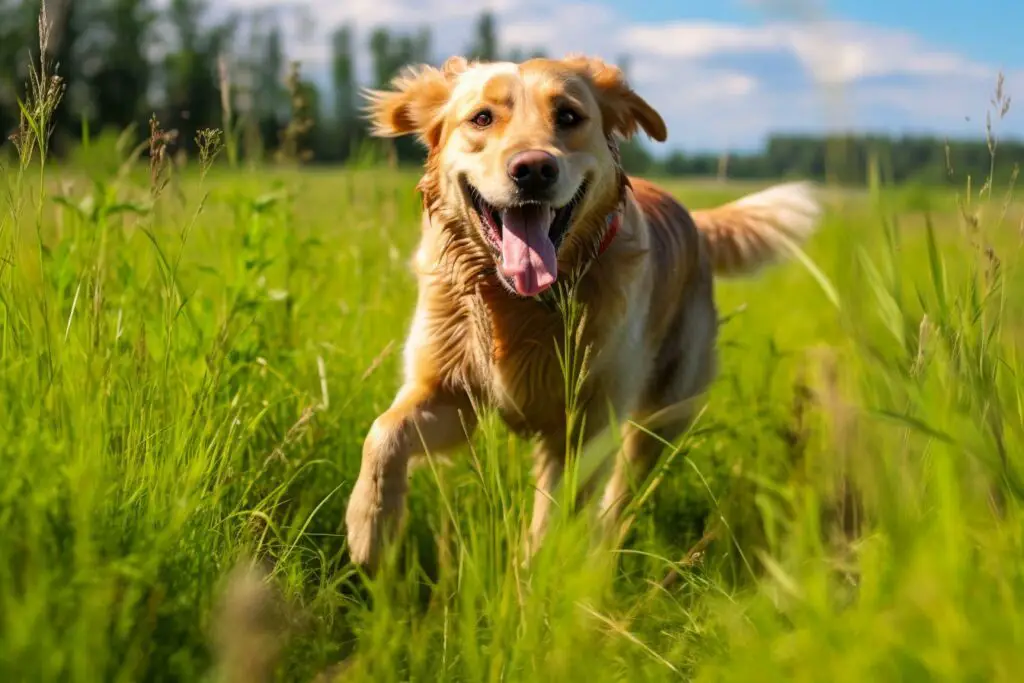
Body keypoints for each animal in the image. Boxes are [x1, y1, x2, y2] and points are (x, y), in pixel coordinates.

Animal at [346, 53, 823, 573]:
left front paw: (532, 579)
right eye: (482, 118)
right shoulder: (449, 392)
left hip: (663, 414)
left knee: (621, 498)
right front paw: (371, 529)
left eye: (569, 116)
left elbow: (553, 517)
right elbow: (382, 433)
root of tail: (694, 220)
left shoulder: (587, 427)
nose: (533, 169)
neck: (520, 302)